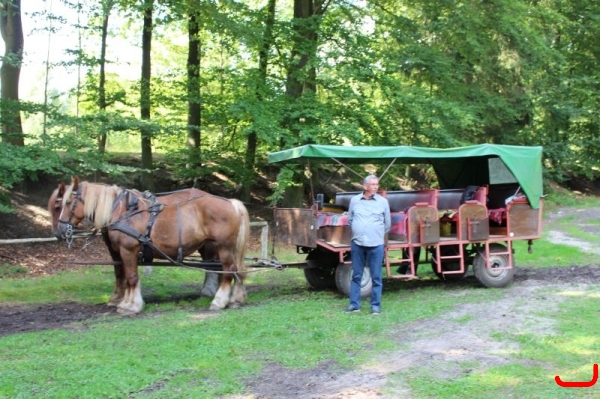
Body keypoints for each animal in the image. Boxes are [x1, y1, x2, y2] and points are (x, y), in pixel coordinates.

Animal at [47, 178, 251, 316]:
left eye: (62, 204)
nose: (59, 233)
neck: (122, 211)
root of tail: (231, 203)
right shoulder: (118, 251)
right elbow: (122, 274)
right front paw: (122, 301)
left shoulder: (128, 249)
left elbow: (131, 277)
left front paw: (130, 306)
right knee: (235, 270)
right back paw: (235, 299)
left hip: (223, 247)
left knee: (228, 270)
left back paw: (219, 300)